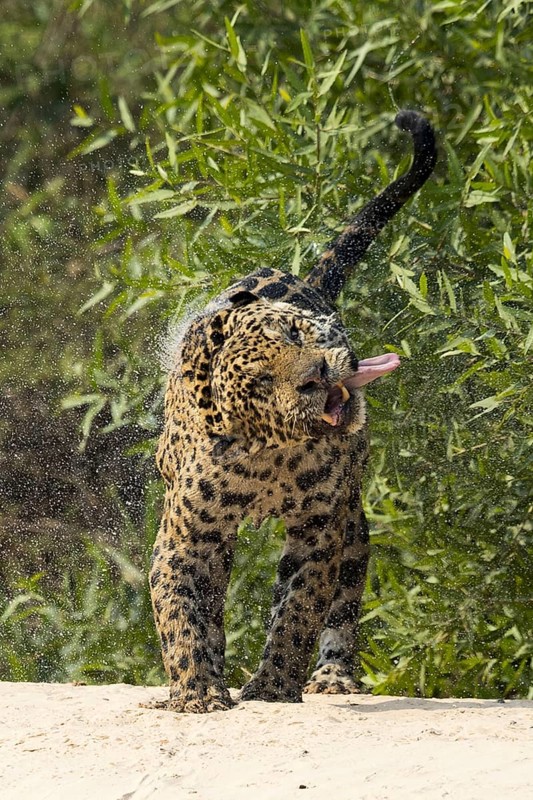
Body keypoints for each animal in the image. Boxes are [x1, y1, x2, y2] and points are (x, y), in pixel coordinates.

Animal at [149, 110, 436, 713]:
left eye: (294, 331)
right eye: (261, 382)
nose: (317, 376)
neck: (270, 455)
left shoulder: (318, 527)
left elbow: (300, 608)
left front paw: (274, 685)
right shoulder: (187, 537)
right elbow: (180, 611)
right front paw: (198, 689)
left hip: (351, 520)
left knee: (343, 599)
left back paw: (331, 676)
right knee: (214, 602)